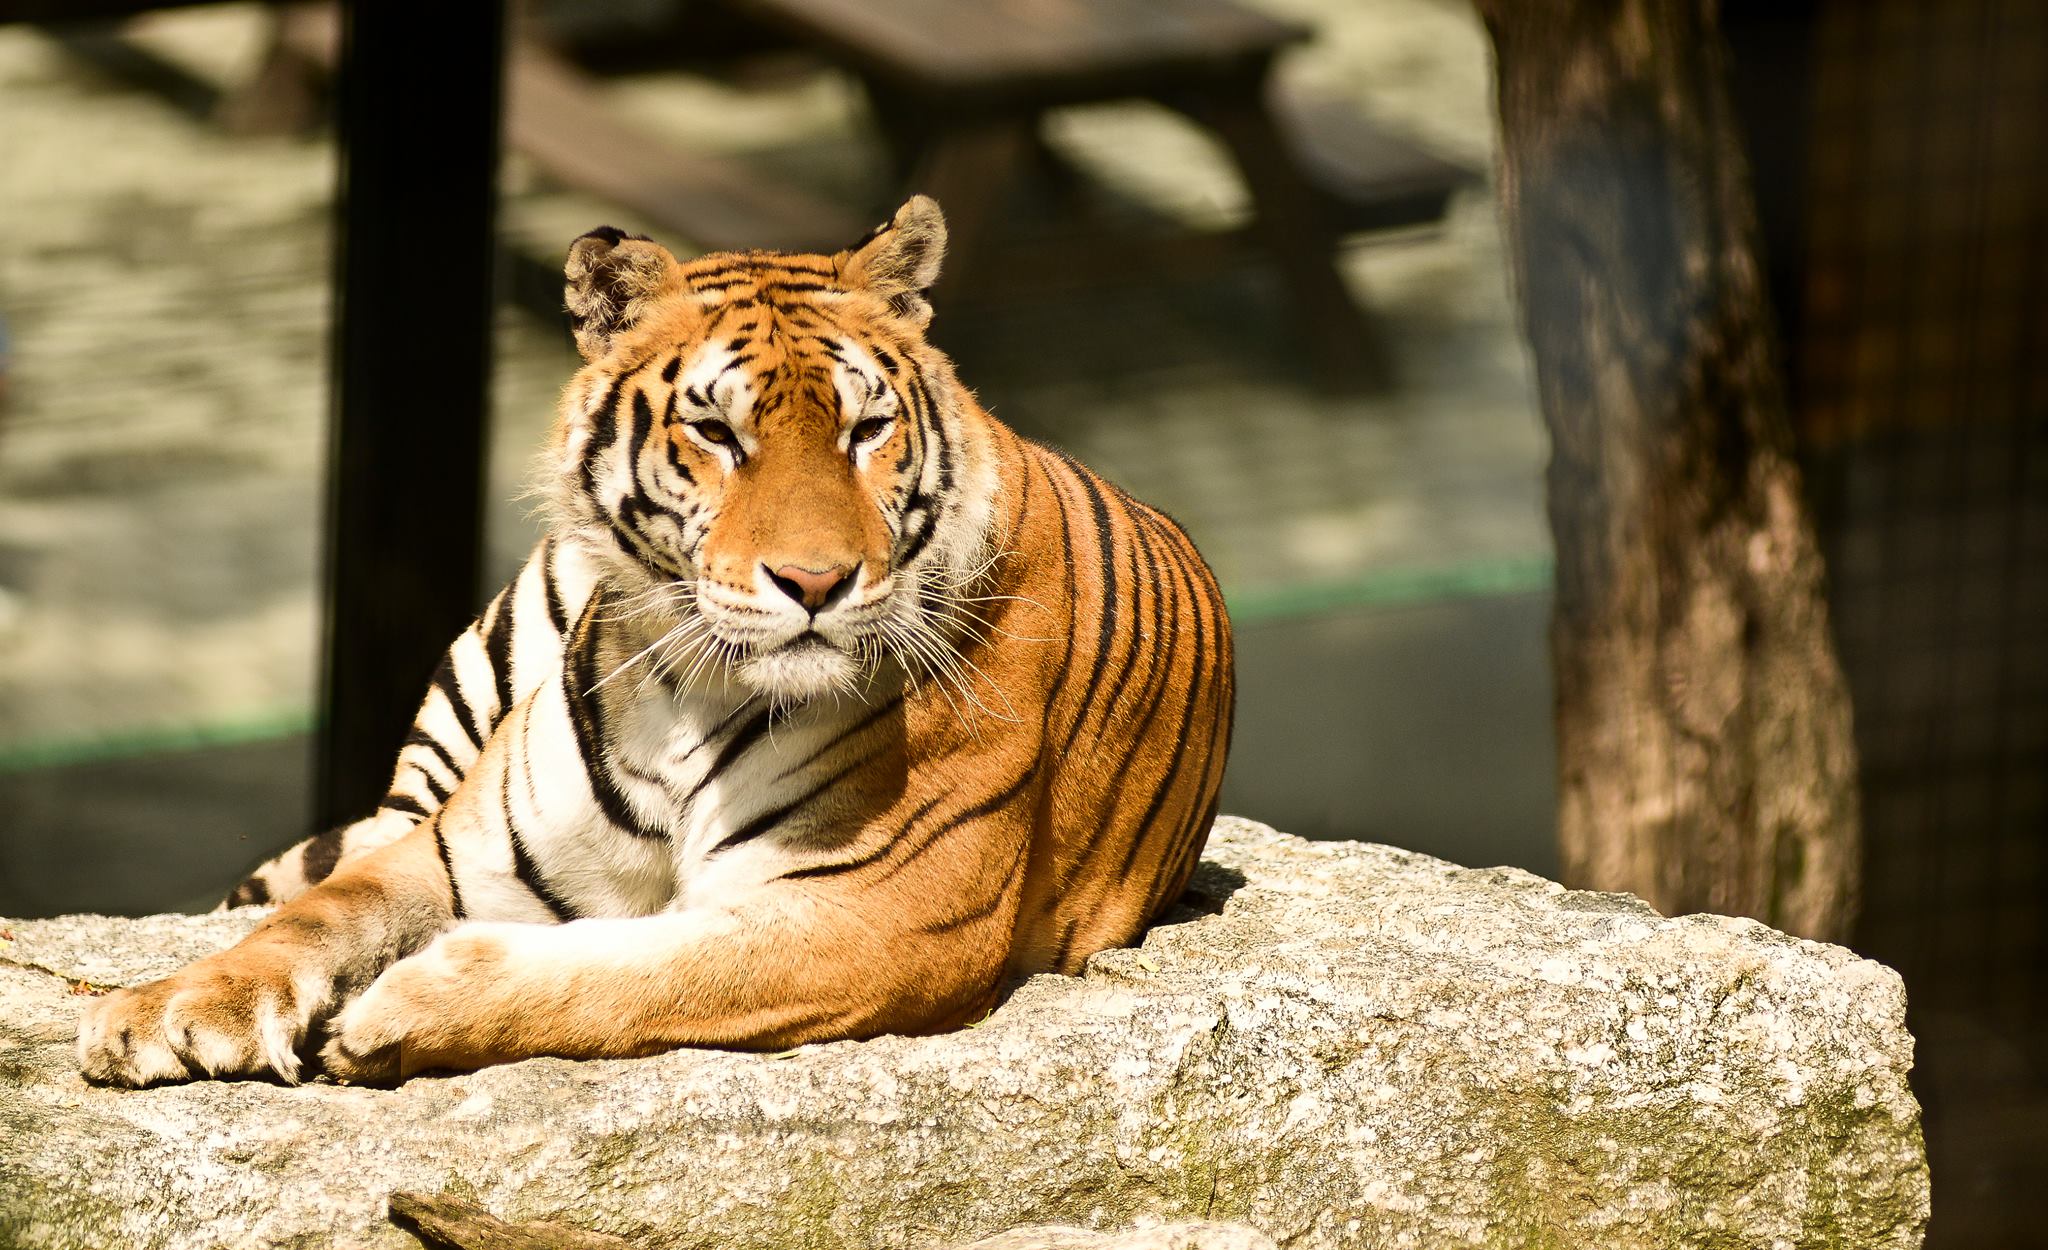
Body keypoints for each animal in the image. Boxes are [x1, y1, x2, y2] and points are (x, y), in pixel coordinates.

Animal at [76, 196, 1234, 1087]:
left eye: (866, 430)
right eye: (717, 432)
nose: (817, 582)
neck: (694, 688)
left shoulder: (876, 916)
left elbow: (633, 974)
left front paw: (394, 1010)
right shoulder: (459, 847)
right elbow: (318, 914)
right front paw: (165, 1010)